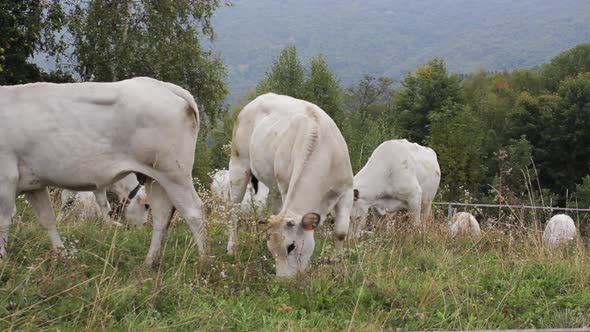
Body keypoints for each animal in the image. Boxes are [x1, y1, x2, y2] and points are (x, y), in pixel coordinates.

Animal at [0, 76, 208, 266]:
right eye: (143, 207)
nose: (138, 228)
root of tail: (162, 85)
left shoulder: (6, 178)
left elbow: (3, 221)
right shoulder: (34, 184)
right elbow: (47, 219)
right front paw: (62, 254)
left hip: (174, 173)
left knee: (194, 212)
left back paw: (204, 262)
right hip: (155, 178)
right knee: (162, 216)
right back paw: (149, 263)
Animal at [229, 92, 354, 276]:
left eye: (291, 247)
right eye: (272, 250)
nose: (283, 280)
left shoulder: (347, 190)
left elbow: (341, 231)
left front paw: (337, 263)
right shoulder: (286, 186)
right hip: (238, 164)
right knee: (233, 210)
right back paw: (231, 248)